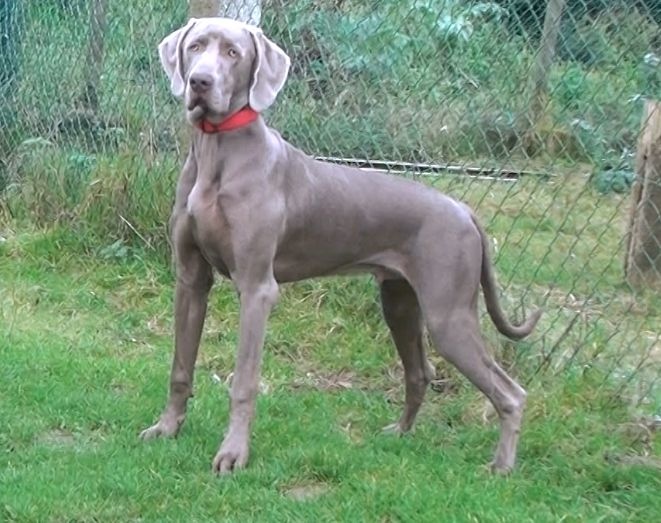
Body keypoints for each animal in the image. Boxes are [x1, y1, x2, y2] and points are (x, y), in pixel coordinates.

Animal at [142, 17, 540, 474]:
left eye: (233, 53)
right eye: (195, 46)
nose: (199, 81)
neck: (216, 153)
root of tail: (463, 209)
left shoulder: (257, 289)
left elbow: (243, 380)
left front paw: (233, 453)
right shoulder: (191, 280)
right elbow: (180, 365)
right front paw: (167, 427)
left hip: (448, 315)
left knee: (511, 391)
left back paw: (502, 466)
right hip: (399, 302)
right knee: (419, 372)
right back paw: (399, 433)